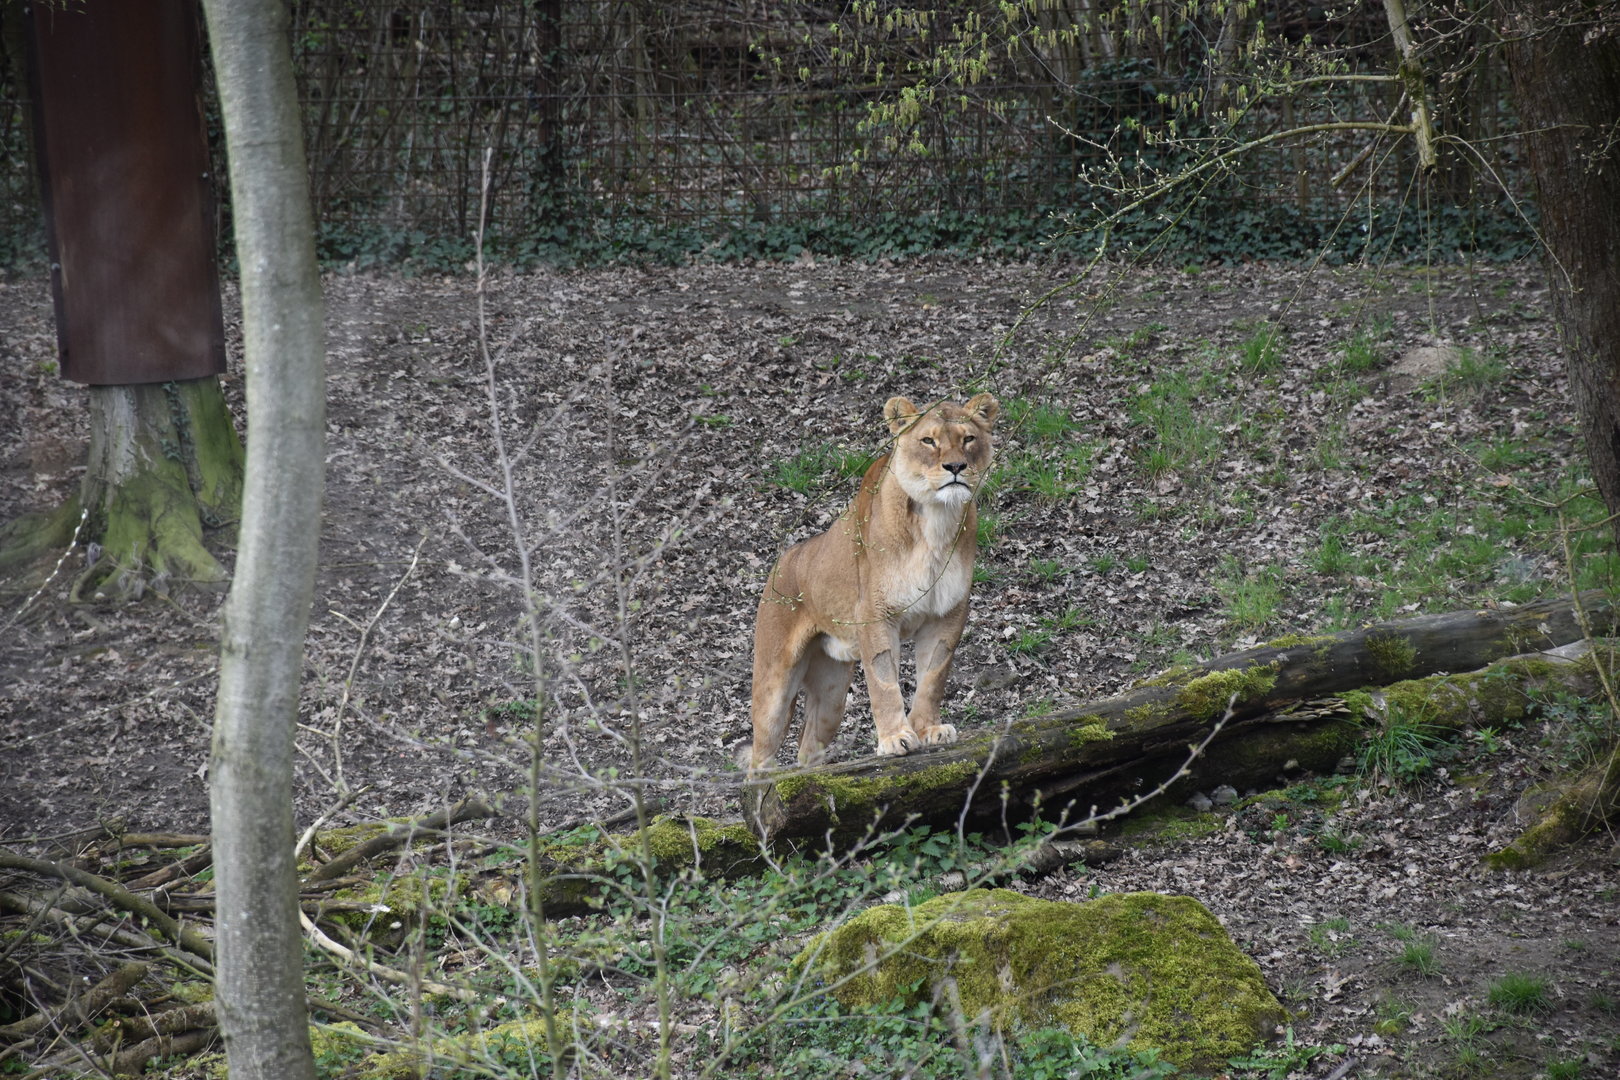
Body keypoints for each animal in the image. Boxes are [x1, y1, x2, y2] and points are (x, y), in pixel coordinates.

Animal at [748, 392, 1000, 769]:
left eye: (968, 438)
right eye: (928, 441)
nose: (955, 467)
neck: (937, 519)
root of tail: (785, 558)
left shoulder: (947, 615)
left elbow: (933, 677)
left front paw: (929, 729)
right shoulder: (875, 615)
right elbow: (884, 683)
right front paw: (896, 738)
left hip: (832, 694)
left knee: (808, 747)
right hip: (774, 686)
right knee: (760, 757)